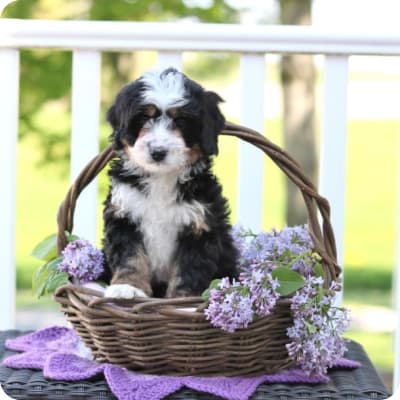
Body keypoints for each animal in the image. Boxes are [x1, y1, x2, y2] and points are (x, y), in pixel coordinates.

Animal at [102, 69, 238, 298]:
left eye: (181, 121)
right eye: (144, 118)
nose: (158, 152)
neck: (161, 178)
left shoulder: (199, 226)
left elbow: (188, 270)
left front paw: (182, 298)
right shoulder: (124, 216)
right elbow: (130, 256)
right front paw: (127, 286)